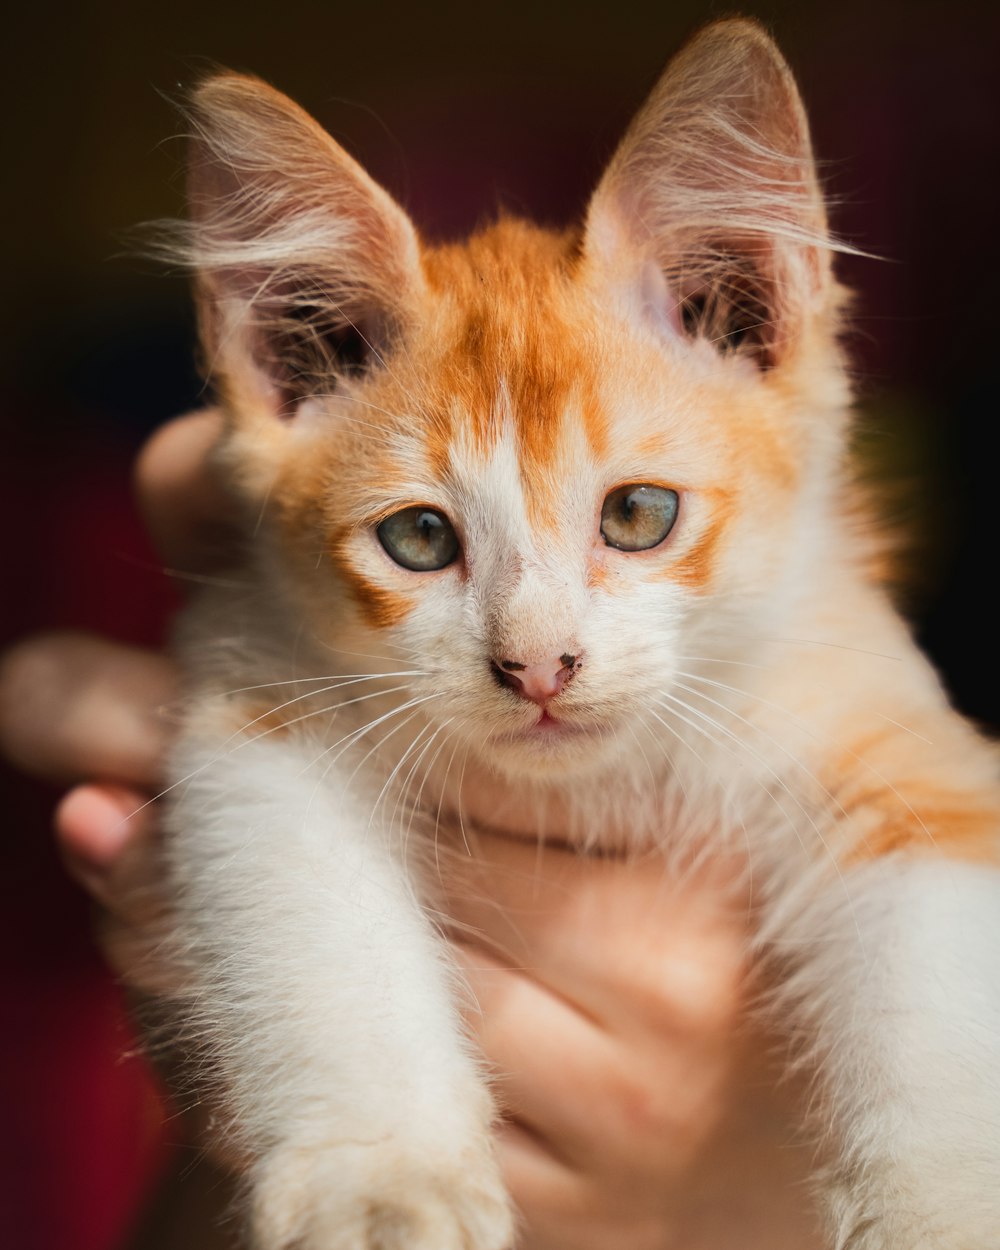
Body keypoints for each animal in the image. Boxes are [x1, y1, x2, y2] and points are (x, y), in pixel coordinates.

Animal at [156, 19, 1000, 1250]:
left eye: (638, 515)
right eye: (419, 537)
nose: (537, 665)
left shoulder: (892, 737)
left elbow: (939, 993)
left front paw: (942, 1204)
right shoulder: (260, 690)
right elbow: (314, 930)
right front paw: (385, 1173)